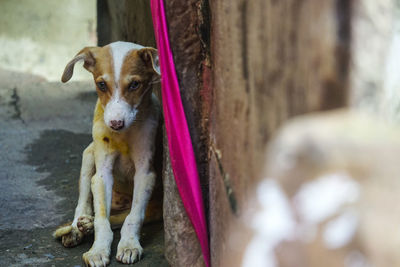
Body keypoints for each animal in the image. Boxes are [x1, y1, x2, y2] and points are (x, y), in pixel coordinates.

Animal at [53, 40, 161, 266]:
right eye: (101, 85)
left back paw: (87, 225)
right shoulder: (102, 173)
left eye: (135, 84)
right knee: (83, 205)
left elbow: (133, 217)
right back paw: (78, 228)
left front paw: (129, 245)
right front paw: (98, 250)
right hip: (88, 155)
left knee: (126, 215)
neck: (124, 135)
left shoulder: (145, 173)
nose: (115, 124)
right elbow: (102, 220)